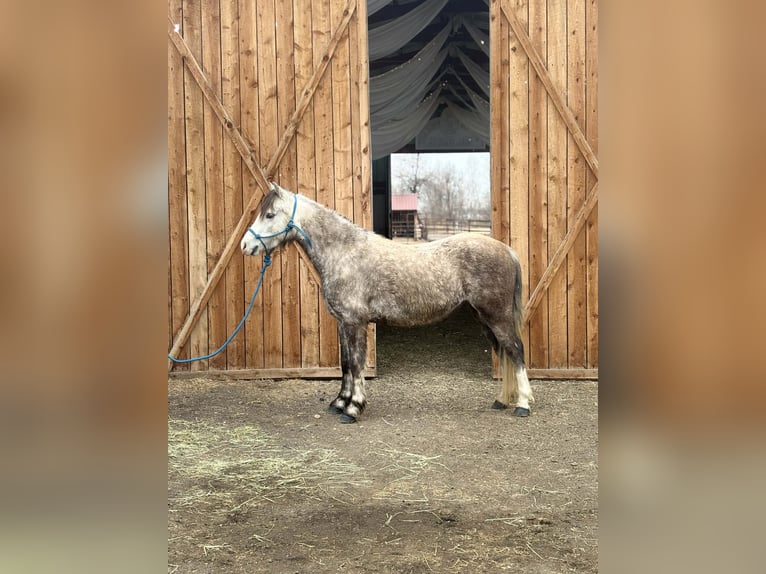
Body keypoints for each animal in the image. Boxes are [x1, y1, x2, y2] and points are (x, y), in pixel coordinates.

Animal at [241, 183, 534, 424]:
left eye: (269, 215)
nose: (245, 245)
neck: (344, 252)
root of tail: (506, 250)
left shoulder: (355, 322)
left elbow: (356, 364)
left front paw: (353, 408)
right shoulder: (343, 323)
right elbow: (345, 364)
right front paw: (340, 402)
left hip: (497, 317)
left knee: (516, 351)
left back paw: (523, 405)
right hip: (484, 317)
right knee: (504, 352)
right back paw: (501, 400)